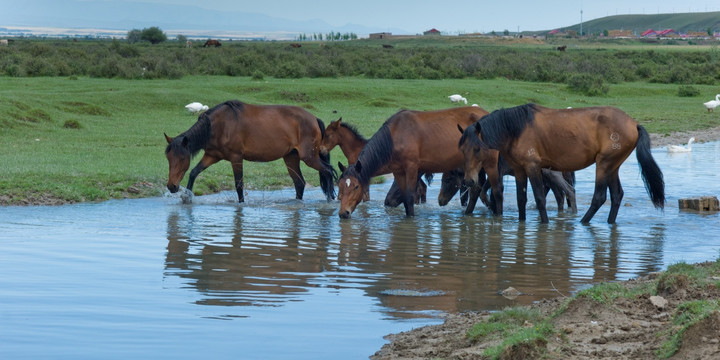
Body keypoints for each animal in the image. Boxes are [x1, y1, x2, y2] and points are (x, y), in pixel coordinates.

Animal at [166, 100, 338, 204]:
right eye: (168, 159)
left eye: (182, 159)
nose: (171, 186)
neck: (218, 126)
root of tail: (314, 118)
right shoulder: (211, 156)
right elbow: (194, 172)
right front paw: (186, 197)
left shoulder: (236, 158)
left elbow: (239, 185)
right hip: (291, 157)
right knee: (300, 182)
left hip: (309, 157)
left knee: (328, 171)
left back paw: (330, 201)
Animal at [338, 105, 490, 218]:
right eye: (340, 186)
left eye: (356, 186)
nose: (343, 213)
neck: (395, 137)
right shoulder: (398, 171)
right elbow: (405, 198)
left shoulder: (411, 168)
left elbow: (410, 197)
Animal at [458, 102, 668, 224]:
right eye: (462, 149)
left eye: (477, 148)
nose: (468, 181)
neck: (516, 129)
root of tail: (633, 124)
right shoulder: (519, 170)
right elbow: (521, 199)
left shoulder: (533, 167)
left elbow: (540, 198)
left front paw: (544, 224)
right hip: (613, 166)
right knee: (616, 195)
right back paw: (609, 223)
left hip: (604, 164)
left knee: (599, 197)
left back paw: (583, 222)